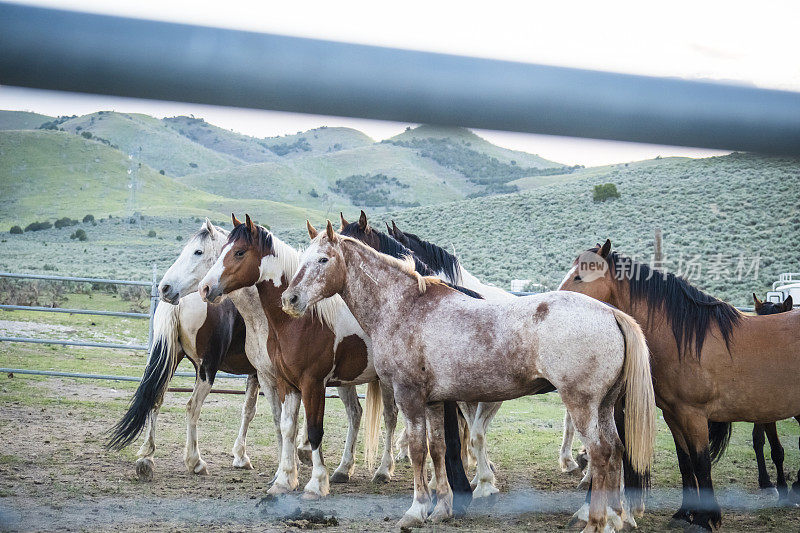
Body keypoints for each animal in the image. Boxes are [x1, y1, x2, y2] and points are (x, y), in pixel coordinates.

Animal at [282, 219, 656, 528]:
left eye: (323, 260)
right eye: (303, 259)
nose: (290, 298)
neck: (405, 307)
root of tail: (611, 313)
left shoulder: (409, 396)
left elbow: (417, 449)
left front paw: (417, 510)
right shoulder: (433, 401)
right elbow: (437, 448)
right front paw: (442, 508)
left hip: (582, 404)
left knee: (600, 453)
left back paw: (596, 521)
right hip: (604, 406)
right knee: (615, 450)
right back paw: (617, 517)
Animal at [560, 239, 800, 528]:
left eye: (579, 276)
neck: (685, 340)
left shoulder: (694, 415)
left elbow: (701, 463)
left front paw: (706, 520)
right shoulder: (674, 414)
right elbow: (685, 461)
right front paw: (685, 513)